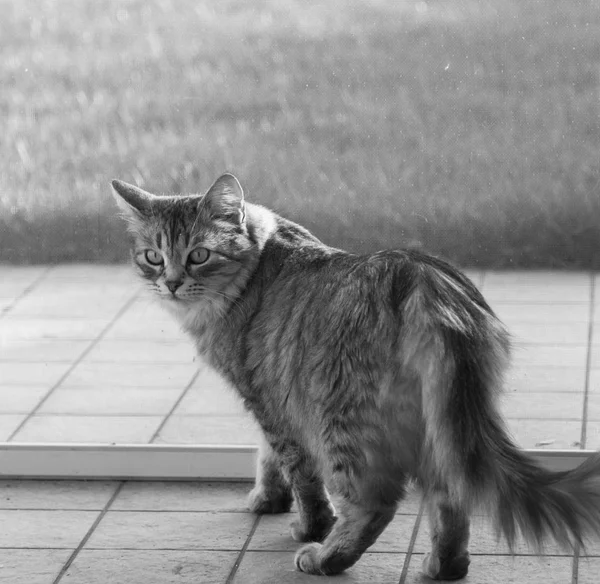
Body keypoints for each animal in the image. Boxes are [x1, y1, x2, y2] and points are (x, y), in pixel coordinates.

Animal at [111, 173, 600, 580]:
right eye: (153, 257)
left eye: (198, 255)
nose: (171, 283)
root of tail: (421, 276)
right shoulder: (273, 394)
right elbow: (268, 455)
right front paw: (269, 498)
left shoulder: (268, 397)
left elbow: (298, 472)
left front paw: (307, 523)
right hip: (442, 425)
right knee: (451, 496)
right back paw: (444, 567)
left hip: (341, 418)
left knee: (375, 503)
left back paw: (326, 556)